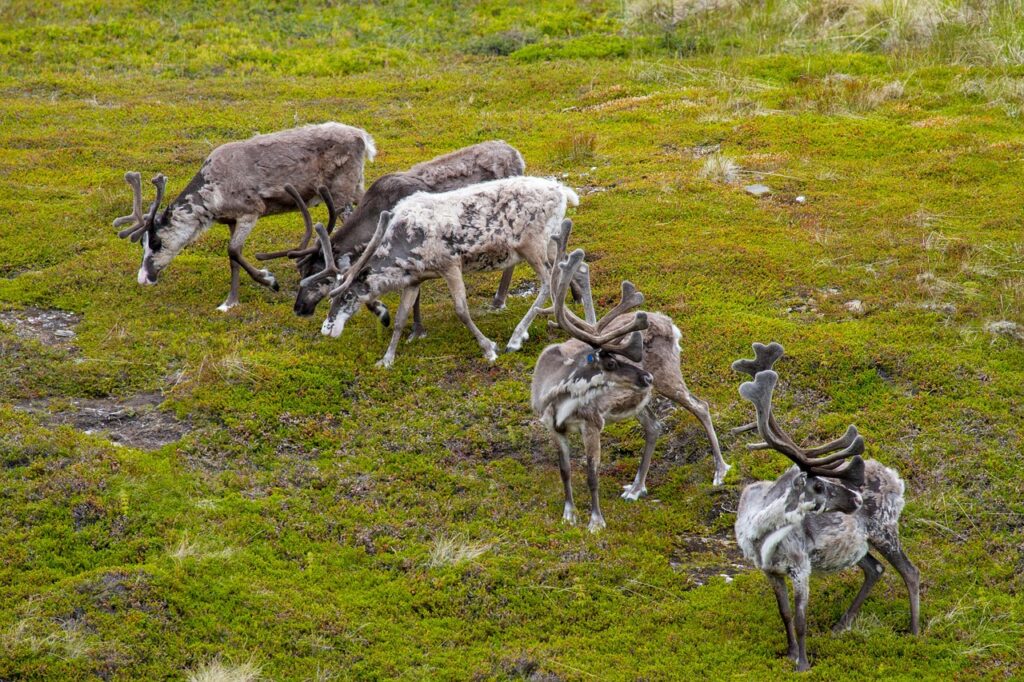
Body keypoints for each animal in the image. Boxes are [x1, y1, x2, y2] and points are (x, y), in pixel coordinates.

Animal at [113, 122, 376, 312]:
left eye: (156, 242)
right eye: (142, 242)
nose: (143, 278)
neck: (212, 194)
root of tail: (363, 137)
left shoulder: (251, 211)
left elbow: (234, 251)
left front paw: (269, 280)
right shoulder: (231, 220)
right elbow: (233, 259)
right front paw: (230, 302)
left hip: (341, 192)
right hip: (356, 187)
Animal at [263, 141, 528, 336]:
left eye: (317, 275)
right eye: (301, 272)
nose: (299, 308)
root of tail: (518, 156)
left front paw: (411, 327)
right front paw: (391, 316)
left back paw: (499, 301)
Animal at [307, 176, 591, 368]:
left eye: (348, 296)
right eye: (330, 298)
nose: (327, 329)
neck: (404, 250)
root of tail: (563, 192)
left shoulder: (450, 265)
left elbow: (461, 311)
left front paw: (489, 348)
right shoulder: (414, 280)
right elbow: (400, 319)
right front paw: (386, 359)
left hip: (532, 244)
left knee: (547, 283)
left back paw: (516, 338)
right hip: (550, 244)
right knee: (579, 267)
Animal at [530, 229, 729, 532]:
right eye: (610, 362)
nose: (644, 374)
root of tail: (672, 324)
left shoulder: (592, 423)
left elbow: (592, 474)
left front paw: (596, 521)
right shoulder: (553, 427)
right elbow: (564, 471)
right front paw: (569, 514)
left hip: (668, 376)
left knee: (701, 406)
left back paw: (720, 470)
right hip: (640, 398)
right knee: (654, 427)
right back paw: (636, 488)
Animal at [732, 342, 920, 672]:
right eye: (818, 486)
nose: (856, 499)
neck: (759, 532)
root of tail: (896, 478)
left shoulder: (800, 566)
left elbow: (801, 620)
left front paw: (803, 664)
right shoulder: (770, 571)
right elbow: (784, 614)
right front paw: (791, 654)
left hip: (885, 529)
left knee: (910, 572)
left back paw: (916, 631)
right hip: (858, 544)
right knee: (875, 569)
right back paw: (841, 626)